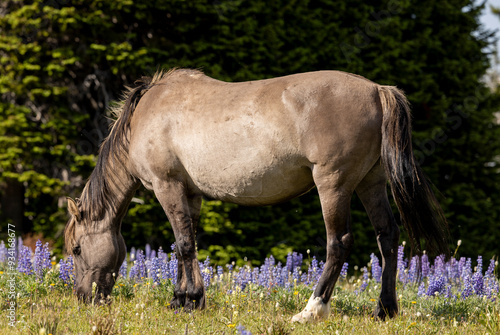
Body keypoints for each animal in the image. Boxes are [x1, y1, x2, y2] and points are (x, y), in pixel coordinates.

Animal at [63, 68, 450, 322]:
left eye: (77, 249)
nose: (83, 298)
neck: (146, 115)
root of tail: (377, 90)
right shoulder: (189, 194)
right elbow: (186, 243)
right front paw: (182, 299)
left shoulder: (166, 186)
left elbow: (184, 244)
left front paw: (191, 299)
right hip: (370, 184)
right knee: (388, 237)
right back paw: (385, 309)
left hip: (334, 185)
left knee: (338, 243)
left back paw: (311, 310)